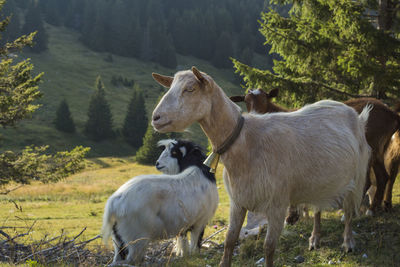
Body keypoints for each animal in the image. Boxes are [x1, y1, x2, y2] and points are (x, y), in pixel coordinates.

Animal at [151, 67, 372, 267]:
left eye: (190, 89)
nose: (156, 117)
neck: (246, 141)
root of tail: (353, 112)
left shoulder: (277, 204)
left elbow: (269, 247)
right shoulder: (238, 201)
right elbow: (230, 241)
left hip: (357, 175)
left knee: (349, 211)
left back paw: (348, 242)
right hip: (323, 182)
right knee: (318, 208)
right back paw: (315, 239)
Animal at [231, 89, 400, 215]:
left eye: (265, 99)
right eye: (246, 101)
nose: (255, 115)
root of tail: (392, 114)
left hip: (371, 147)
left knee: (370, 179)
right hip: (379, 148)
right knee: (384, 176)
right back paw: (375, 208)